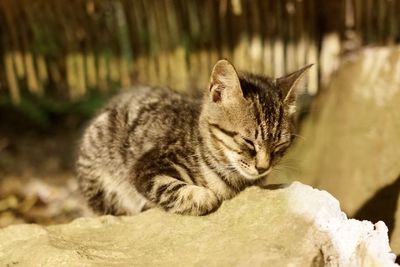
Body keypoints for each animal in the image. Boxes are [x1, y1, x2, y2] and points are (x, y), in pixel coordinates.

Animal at [76, 59, 310, 217]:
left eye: (280, 145)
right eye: (248, 141)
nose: (263, 168)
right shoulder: (144, 167)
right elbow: (174, 189)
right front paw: (206, 197)